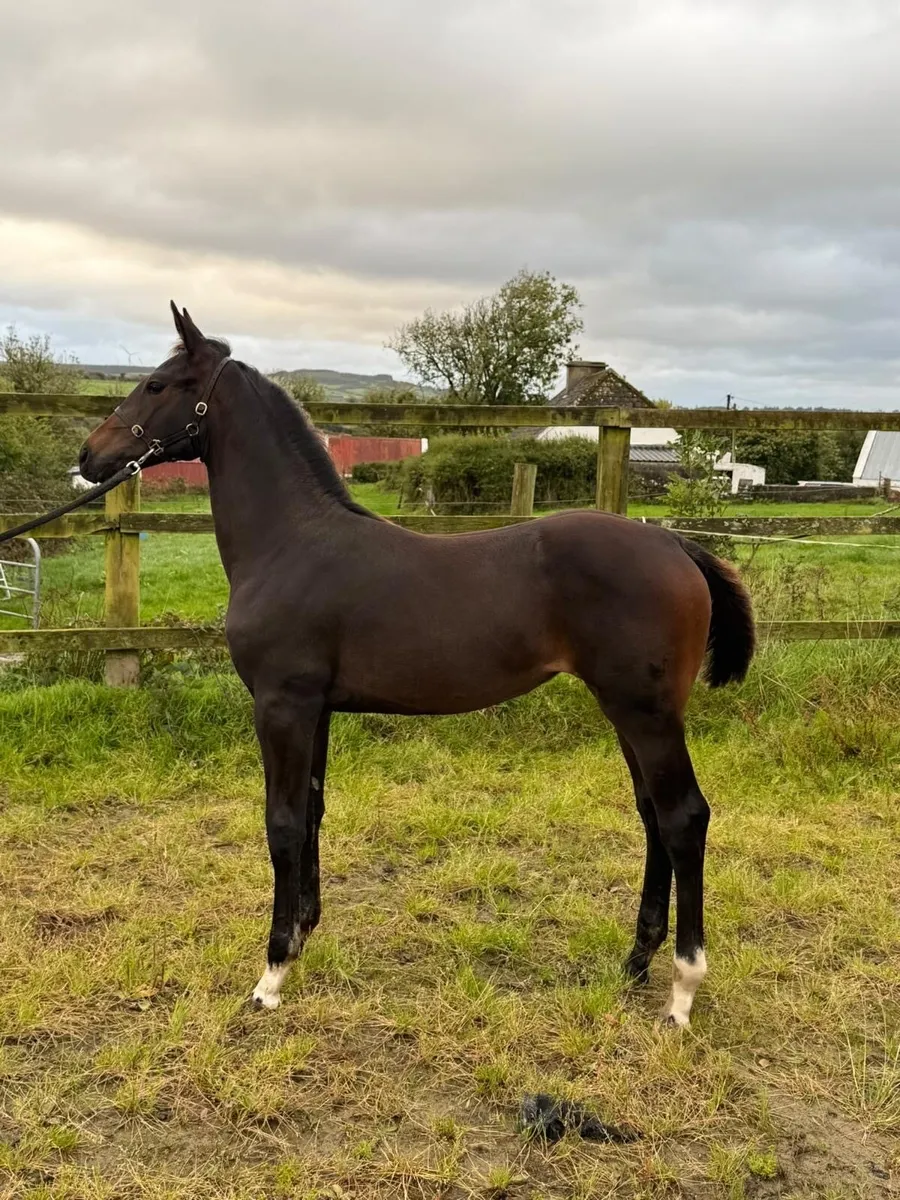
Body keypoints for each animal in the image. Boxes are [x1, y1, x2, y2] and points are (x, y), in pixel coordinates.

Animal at [79, 303, 755, 1025]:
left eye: (158, 383)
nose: (89, 455)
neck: (290, 543)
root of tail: (678, 545)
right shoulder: (316, 710)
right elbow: (312, 811)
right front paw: (303, 936)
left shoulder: (281, 705)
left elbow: (282, 823)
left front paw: (272, 973)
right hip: (630, 711)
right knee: (653, 814)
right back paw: (633, 964)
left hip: (645, 713)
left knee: (683, 817)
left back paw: (682, 989)